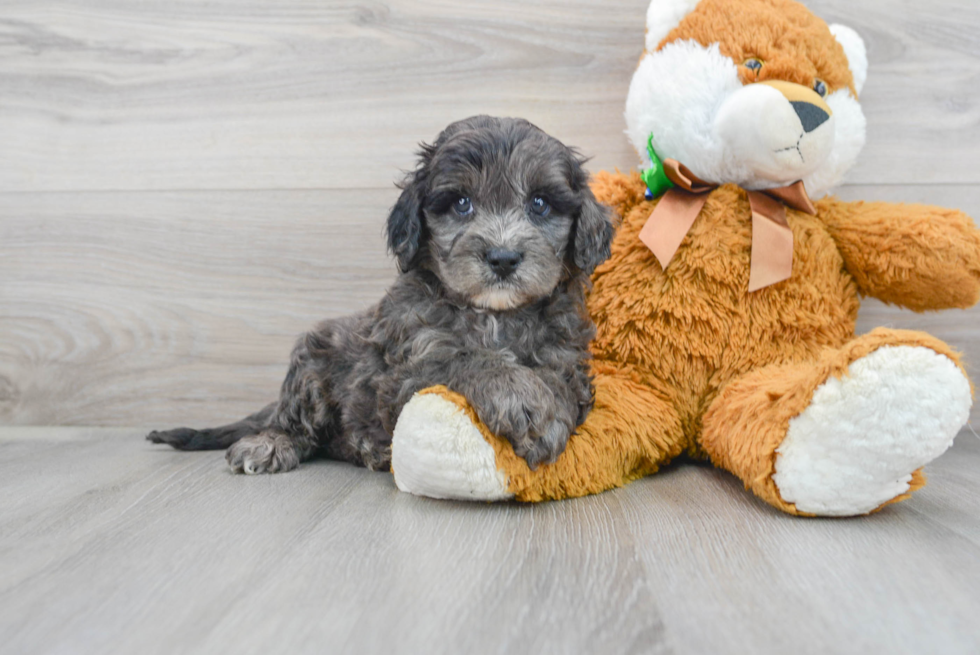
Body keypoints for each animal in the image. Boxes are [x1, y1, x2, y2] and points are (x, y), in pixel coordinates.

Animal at [147, 116, 612, 472]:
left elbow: (558, 384)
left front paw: (546, 415)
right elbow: (466, 358)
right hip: (312, 358)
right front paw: (524, 401)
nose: (502, 258)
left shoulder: (567, 360)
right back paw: (271, 443)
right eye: (461, 203)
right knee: (296, 425)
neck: (493, 315)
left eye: (540, 203)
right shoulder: (406, 372)